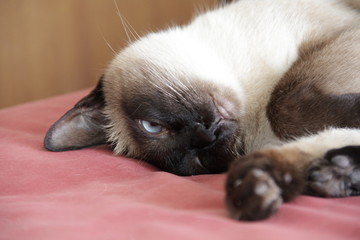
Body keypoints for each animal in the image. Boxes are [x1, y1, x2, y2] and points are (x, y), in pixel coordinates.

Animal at [44, 0, 360, 221]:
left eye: (151, 126)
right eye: (200, 161)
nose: (205, 137)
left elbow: (282, 103)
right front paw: (254, 194)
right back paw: (336, 177)